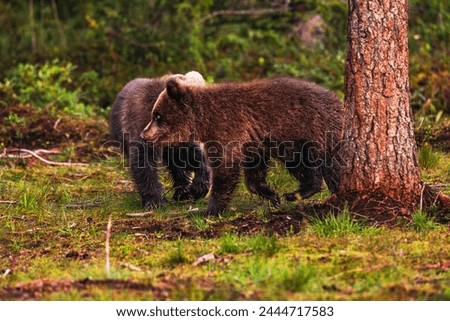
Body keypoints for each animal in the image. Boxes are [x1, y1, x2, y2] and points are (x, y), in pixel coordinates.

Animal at [108, 72, 210, 208]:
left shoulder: (179, 141)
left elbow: (192, 155)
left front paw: (198, 187)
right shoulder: (142, 131)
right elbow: (144, 164)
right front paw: (154, 200)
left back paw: (183, 192)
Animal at [141, 76, 342, 214]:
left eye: (157, 115)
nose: (144, 134)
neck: (203, 121)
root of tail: (338, 100)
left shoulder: (228, 129)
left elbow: (225, 169)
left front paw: (210, 209)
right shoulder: (252, 142)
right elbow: (254, 173)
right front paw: (272, 195)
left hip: (311, 131)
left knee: (323, 164)